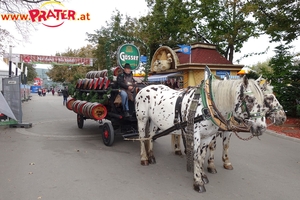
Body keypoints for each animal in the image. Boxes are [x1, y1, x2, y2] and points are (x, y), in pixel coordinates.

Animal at [135, 69, 266, 193]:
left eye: (264, 100)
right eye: (249, 99)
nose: (262, 127)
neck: (207, 106)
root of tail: (144, 88)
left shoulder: (208, 136)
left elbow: (203, 156)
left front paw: (203, 175)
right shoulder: (196, 135)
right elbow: (197, 156)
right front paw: (198, 182)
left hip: (154, 122)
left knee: (151, 137)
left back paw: (151, 156)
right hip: (142, 119)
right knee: (142, 138)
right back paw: (144, 158)